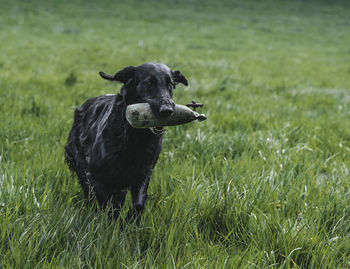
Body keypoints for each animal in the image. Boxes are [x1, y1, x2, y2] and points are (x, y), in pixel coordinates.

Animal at [64, 62, 187, 218]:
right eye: (149, 83)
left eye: (170, 84)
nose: (167, 110)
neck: (135, 137)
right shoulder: (94, 175)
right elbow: (110, 206)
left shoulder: (143, 173)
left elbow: (138, 204)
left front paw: (130, 220)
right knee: (90, 194)